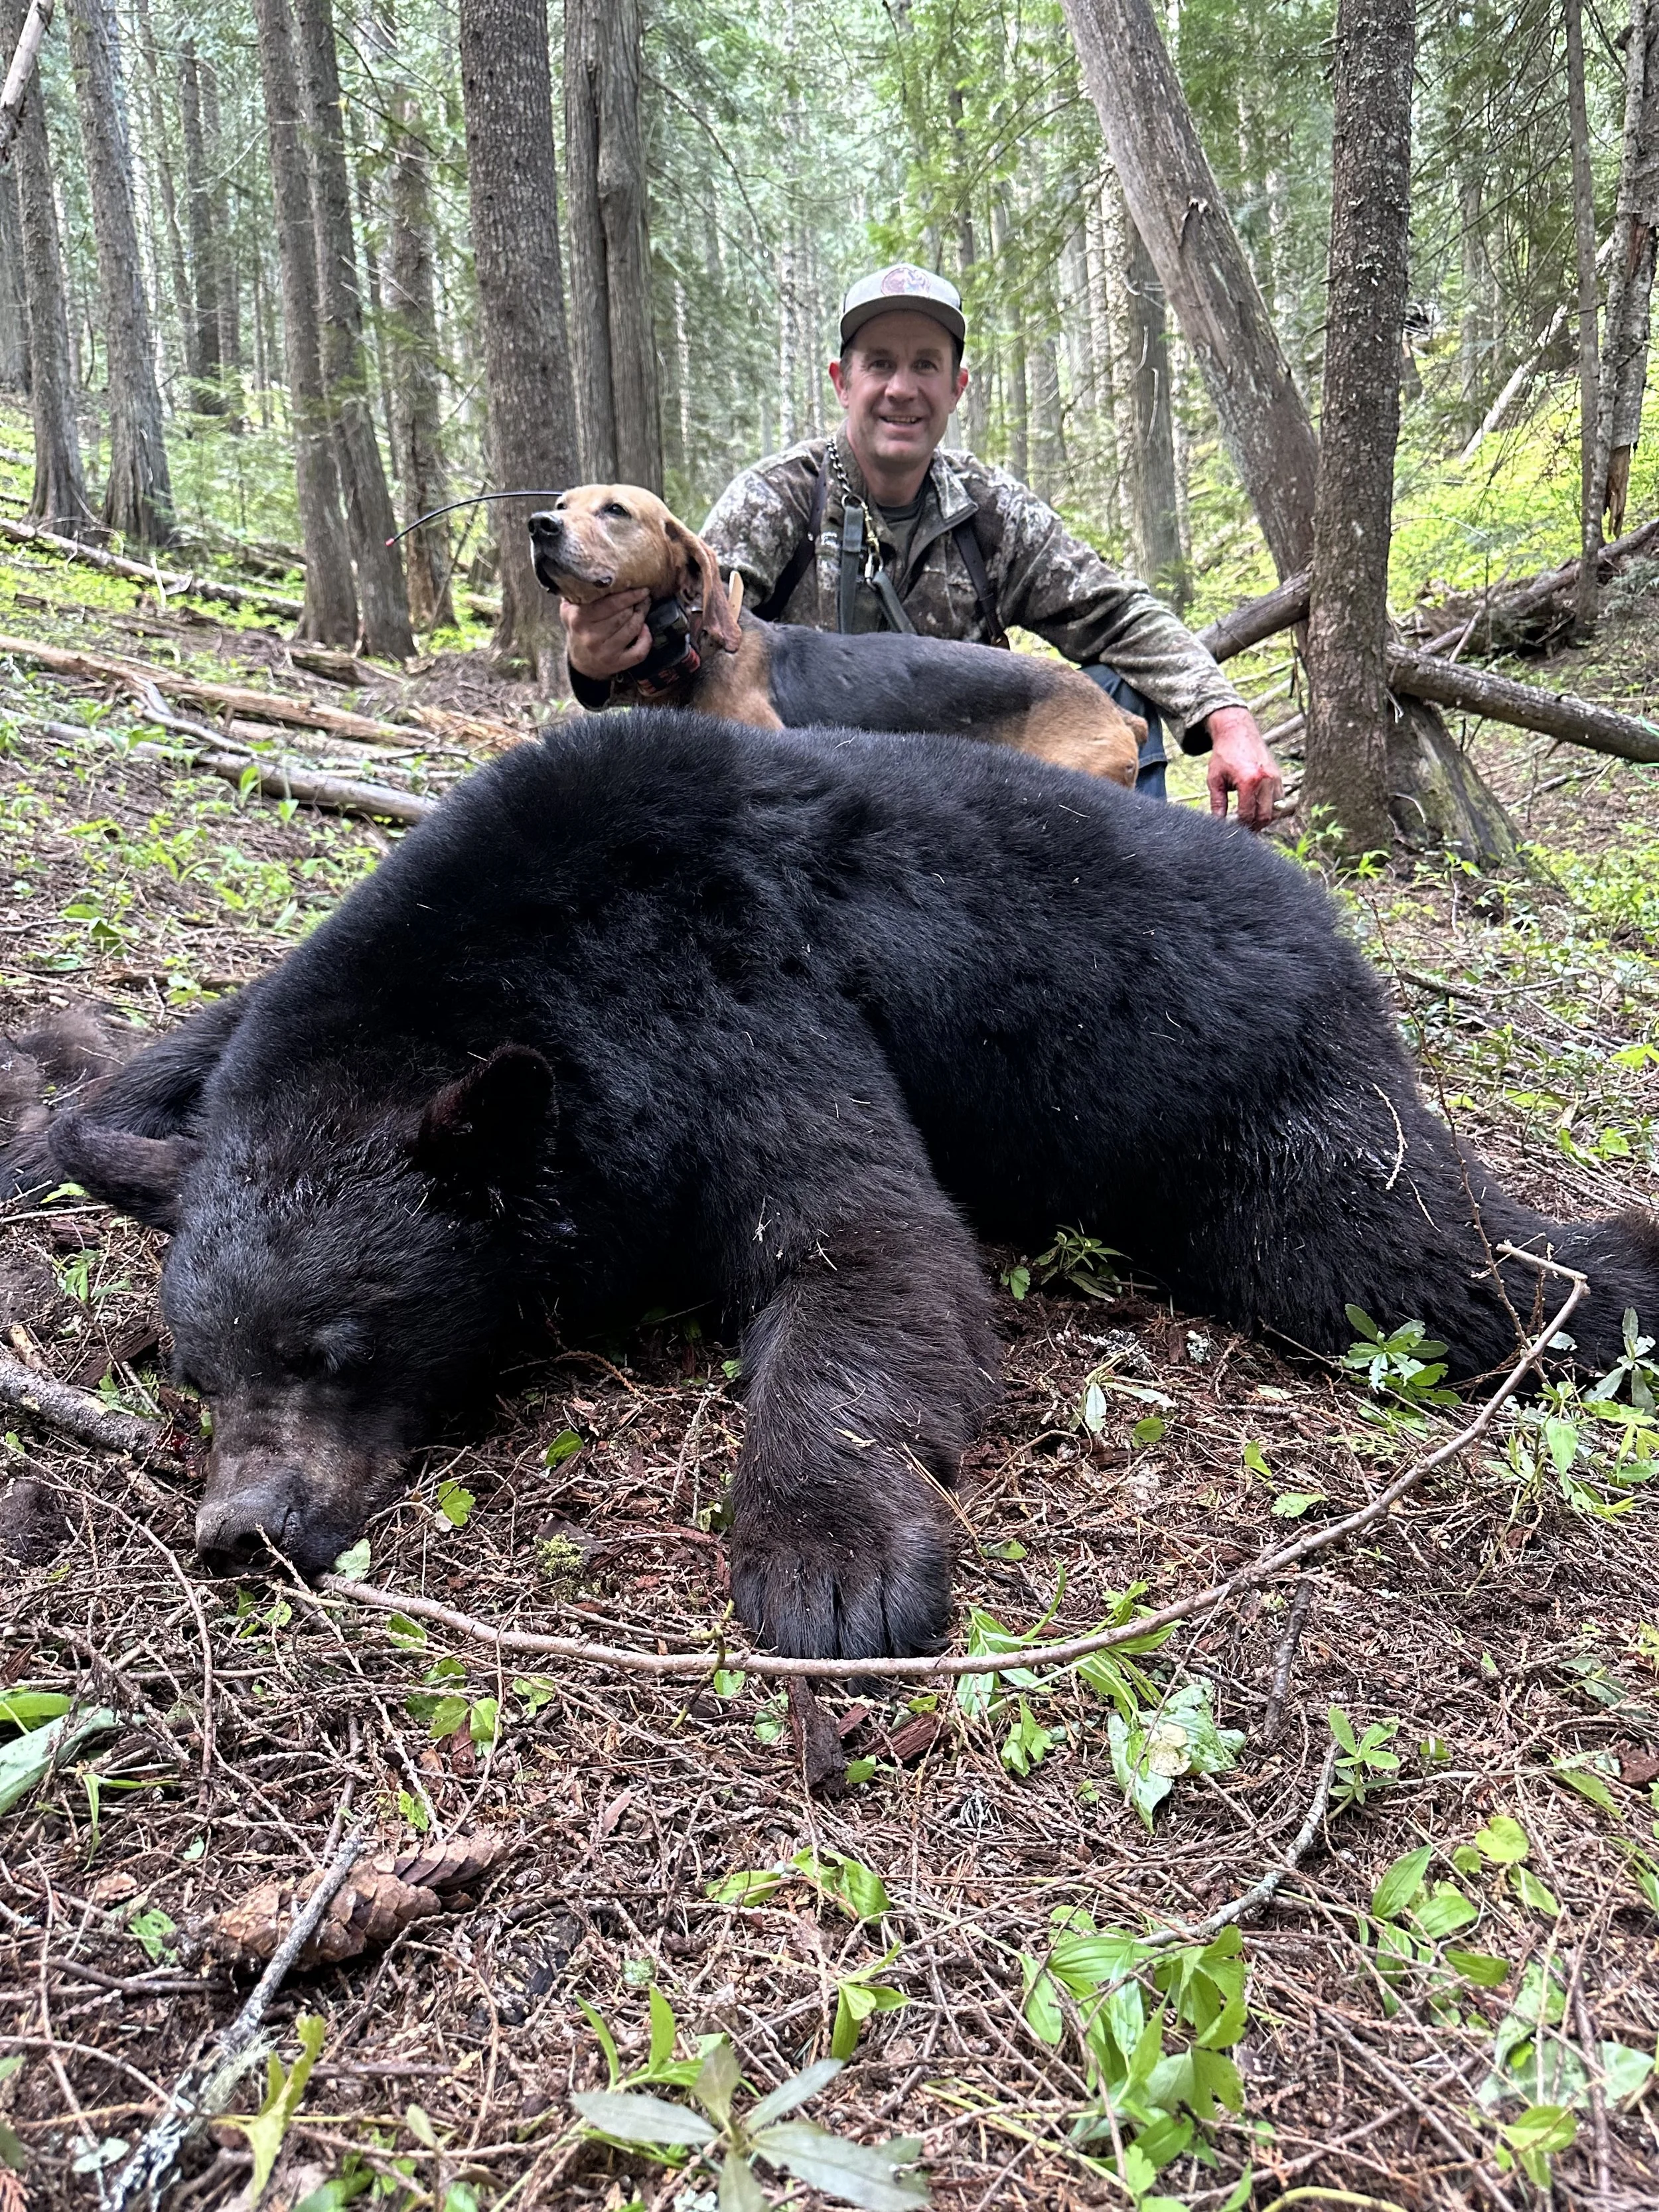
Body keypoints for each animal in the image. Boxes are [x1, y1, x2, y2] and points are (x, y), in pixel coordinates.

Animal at [17, 709, 1658, 1660]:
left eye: (339, 1349)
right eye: (195, 1368)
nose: (242, 1527)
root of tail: (1330, 915)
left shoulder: (734, 988)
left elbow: (865, 1244)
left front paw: (830, 1560)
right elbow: (171, 1059)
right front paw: (59, 1114)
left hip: (1254, 1102)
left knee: (1408, 1256)